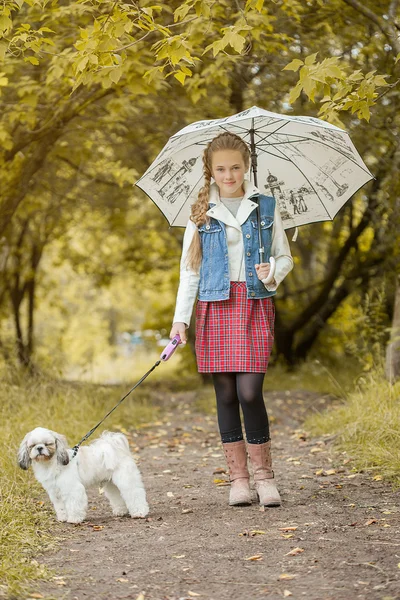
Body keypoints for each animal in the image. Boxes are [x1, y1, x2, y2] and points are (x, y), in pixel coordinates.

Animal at [18, 428, 149, 524]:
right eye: (32, 445)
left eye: (47, 444)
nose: (39, 448)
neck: (50, 464)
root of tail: (114, 448)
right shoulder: (55, 492)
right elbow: (60, 507)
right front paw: (63, 517)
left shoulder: (73, 489)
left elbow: (74, 504)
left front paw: (74, 519)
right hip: (111, 484)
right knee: (116, 495)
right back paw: (120, 511)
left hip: (126, 479)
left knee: (135, 493)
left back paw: (140, 512)